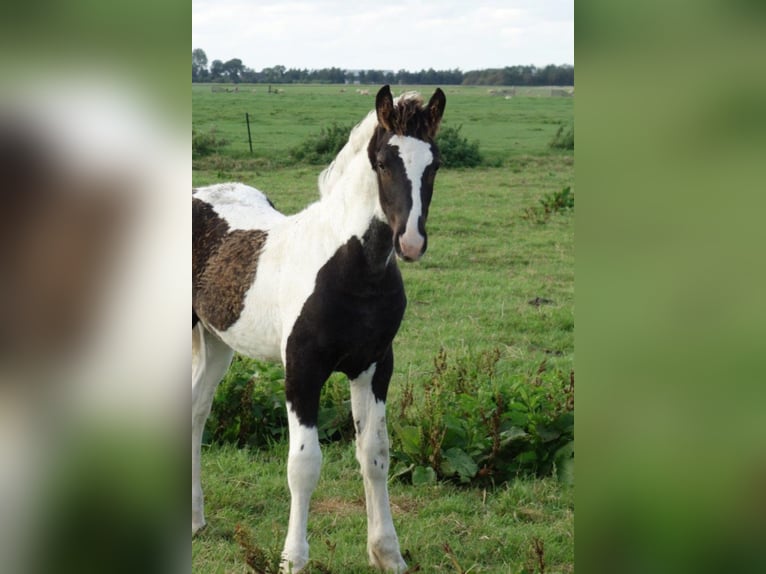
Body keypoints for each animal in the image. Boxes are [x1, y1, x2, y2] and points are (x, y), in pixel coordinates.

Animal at [192, 83, 448, 572]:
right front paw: (293, 558)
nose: (410, 242)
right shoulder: (302, 370)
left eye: (436, 163)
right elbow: (304, 465)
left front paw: (387, 553)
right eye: (383, 162)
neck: (351, 265)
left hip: (216, 343)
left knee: (195, 410)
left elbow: (375, 455)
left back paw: (194, 520)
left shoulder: (374, 367)